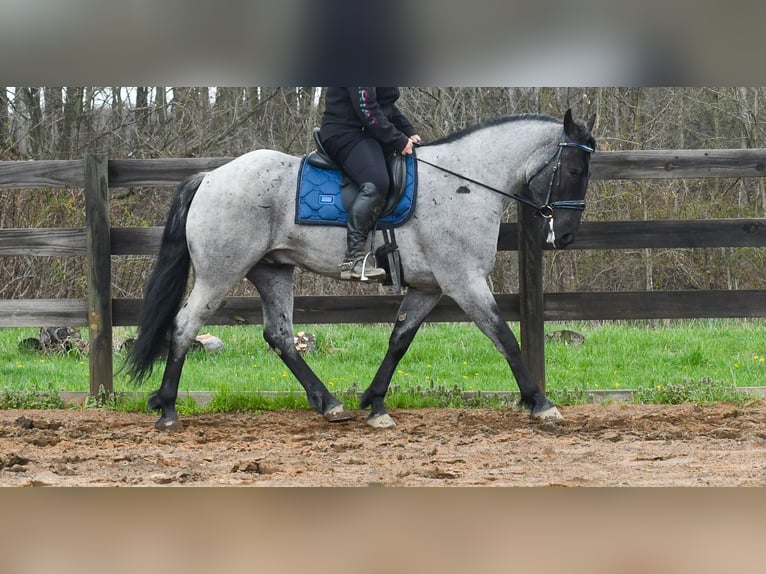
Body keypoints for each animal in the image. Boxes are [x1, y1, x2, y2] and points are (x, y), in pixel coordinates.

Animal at [126, 108, 596, 430]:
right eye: (574, 169)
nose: (566, 235)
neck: (465, 181)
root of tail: (209, 176)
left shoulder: (428, 288)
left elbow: (399, 341)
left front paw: (374, 402)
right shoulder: (464, 281)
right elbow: (504, 337)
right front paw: (540, 403)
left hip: (271, 270)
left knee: (280, 336)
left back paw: (329, 403)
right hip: (219, 273)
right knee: (186, 325)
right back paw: (167, 407)